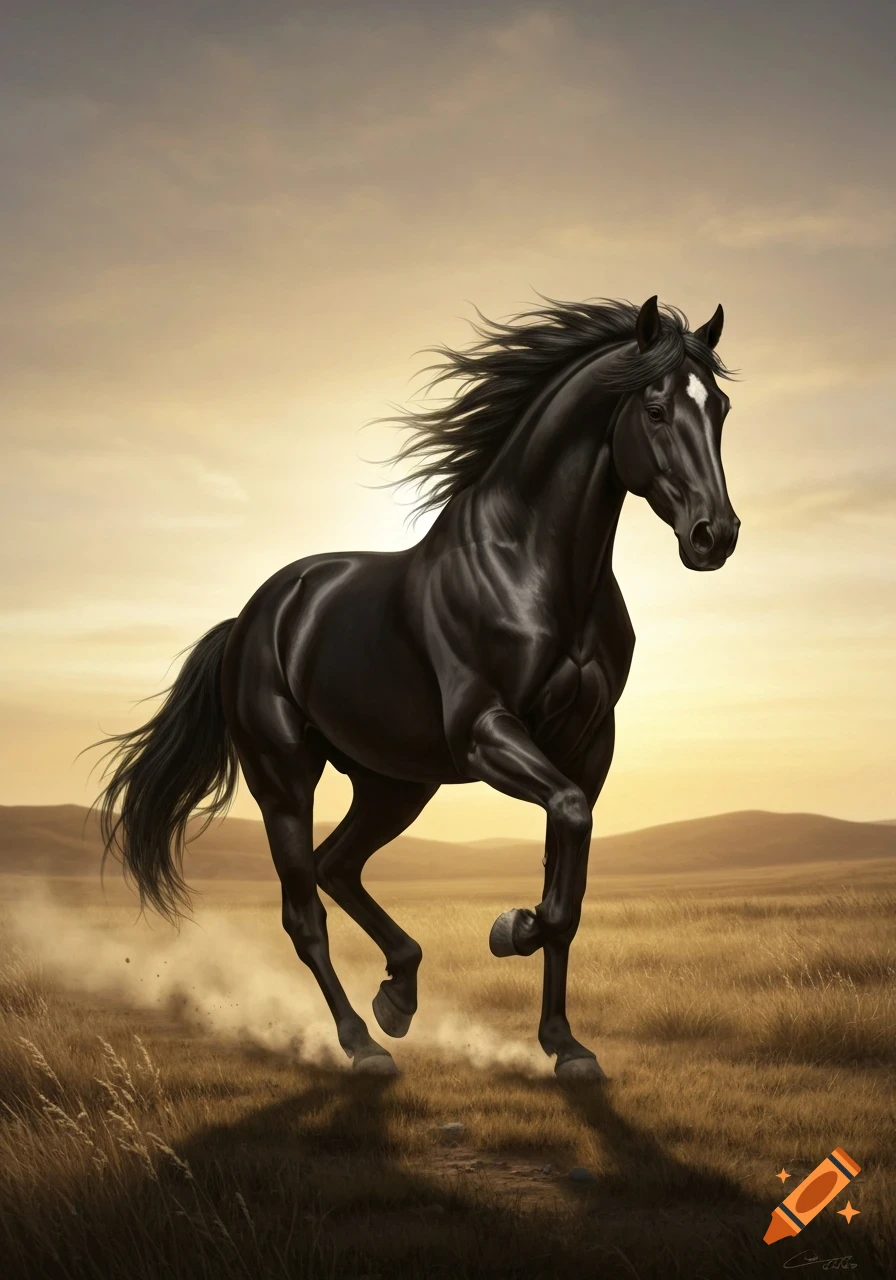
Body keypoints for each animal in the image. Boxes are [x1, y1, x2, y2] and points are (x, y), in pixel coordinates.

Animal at [90, 293, 740, 1079]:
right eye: (654, 408)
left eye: (721, 408)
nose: (715, 536)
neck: (535, 571)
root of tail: (250, 619)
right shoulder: (485, 732)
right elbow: (562, 855)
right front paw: (509, 928)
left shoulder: (589, 747)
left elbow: (570, 878)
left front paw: (565, 1045)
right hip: (285, 779)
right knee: (304, 911)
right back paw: (363, 1043)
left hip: (395, 782)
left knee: (338, 866)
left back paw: (398, 994)